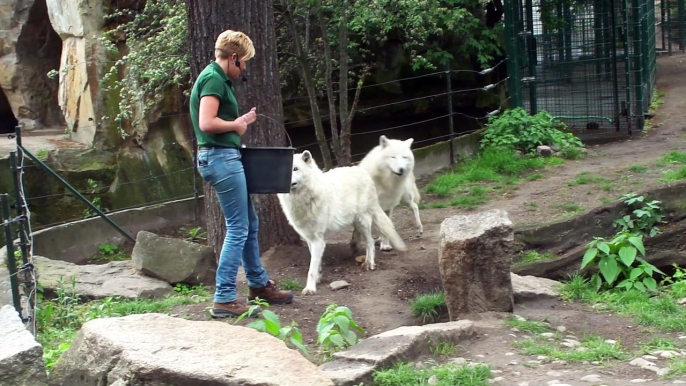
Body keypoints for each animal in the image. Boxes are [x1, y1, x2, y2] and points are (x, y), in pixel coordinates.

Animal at [278, 149, 408, 294]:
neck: (305, 198)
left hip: (363, 221)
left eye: (295, 169)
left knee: (370, 241)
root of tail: (362, 171)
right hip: (356, 222)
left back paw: (369, 263)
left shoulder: (318, 240)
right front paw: (318, 277)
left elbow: (311, 268)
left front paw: (310, 288)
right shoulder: (309, 238)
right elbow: (316, 263)